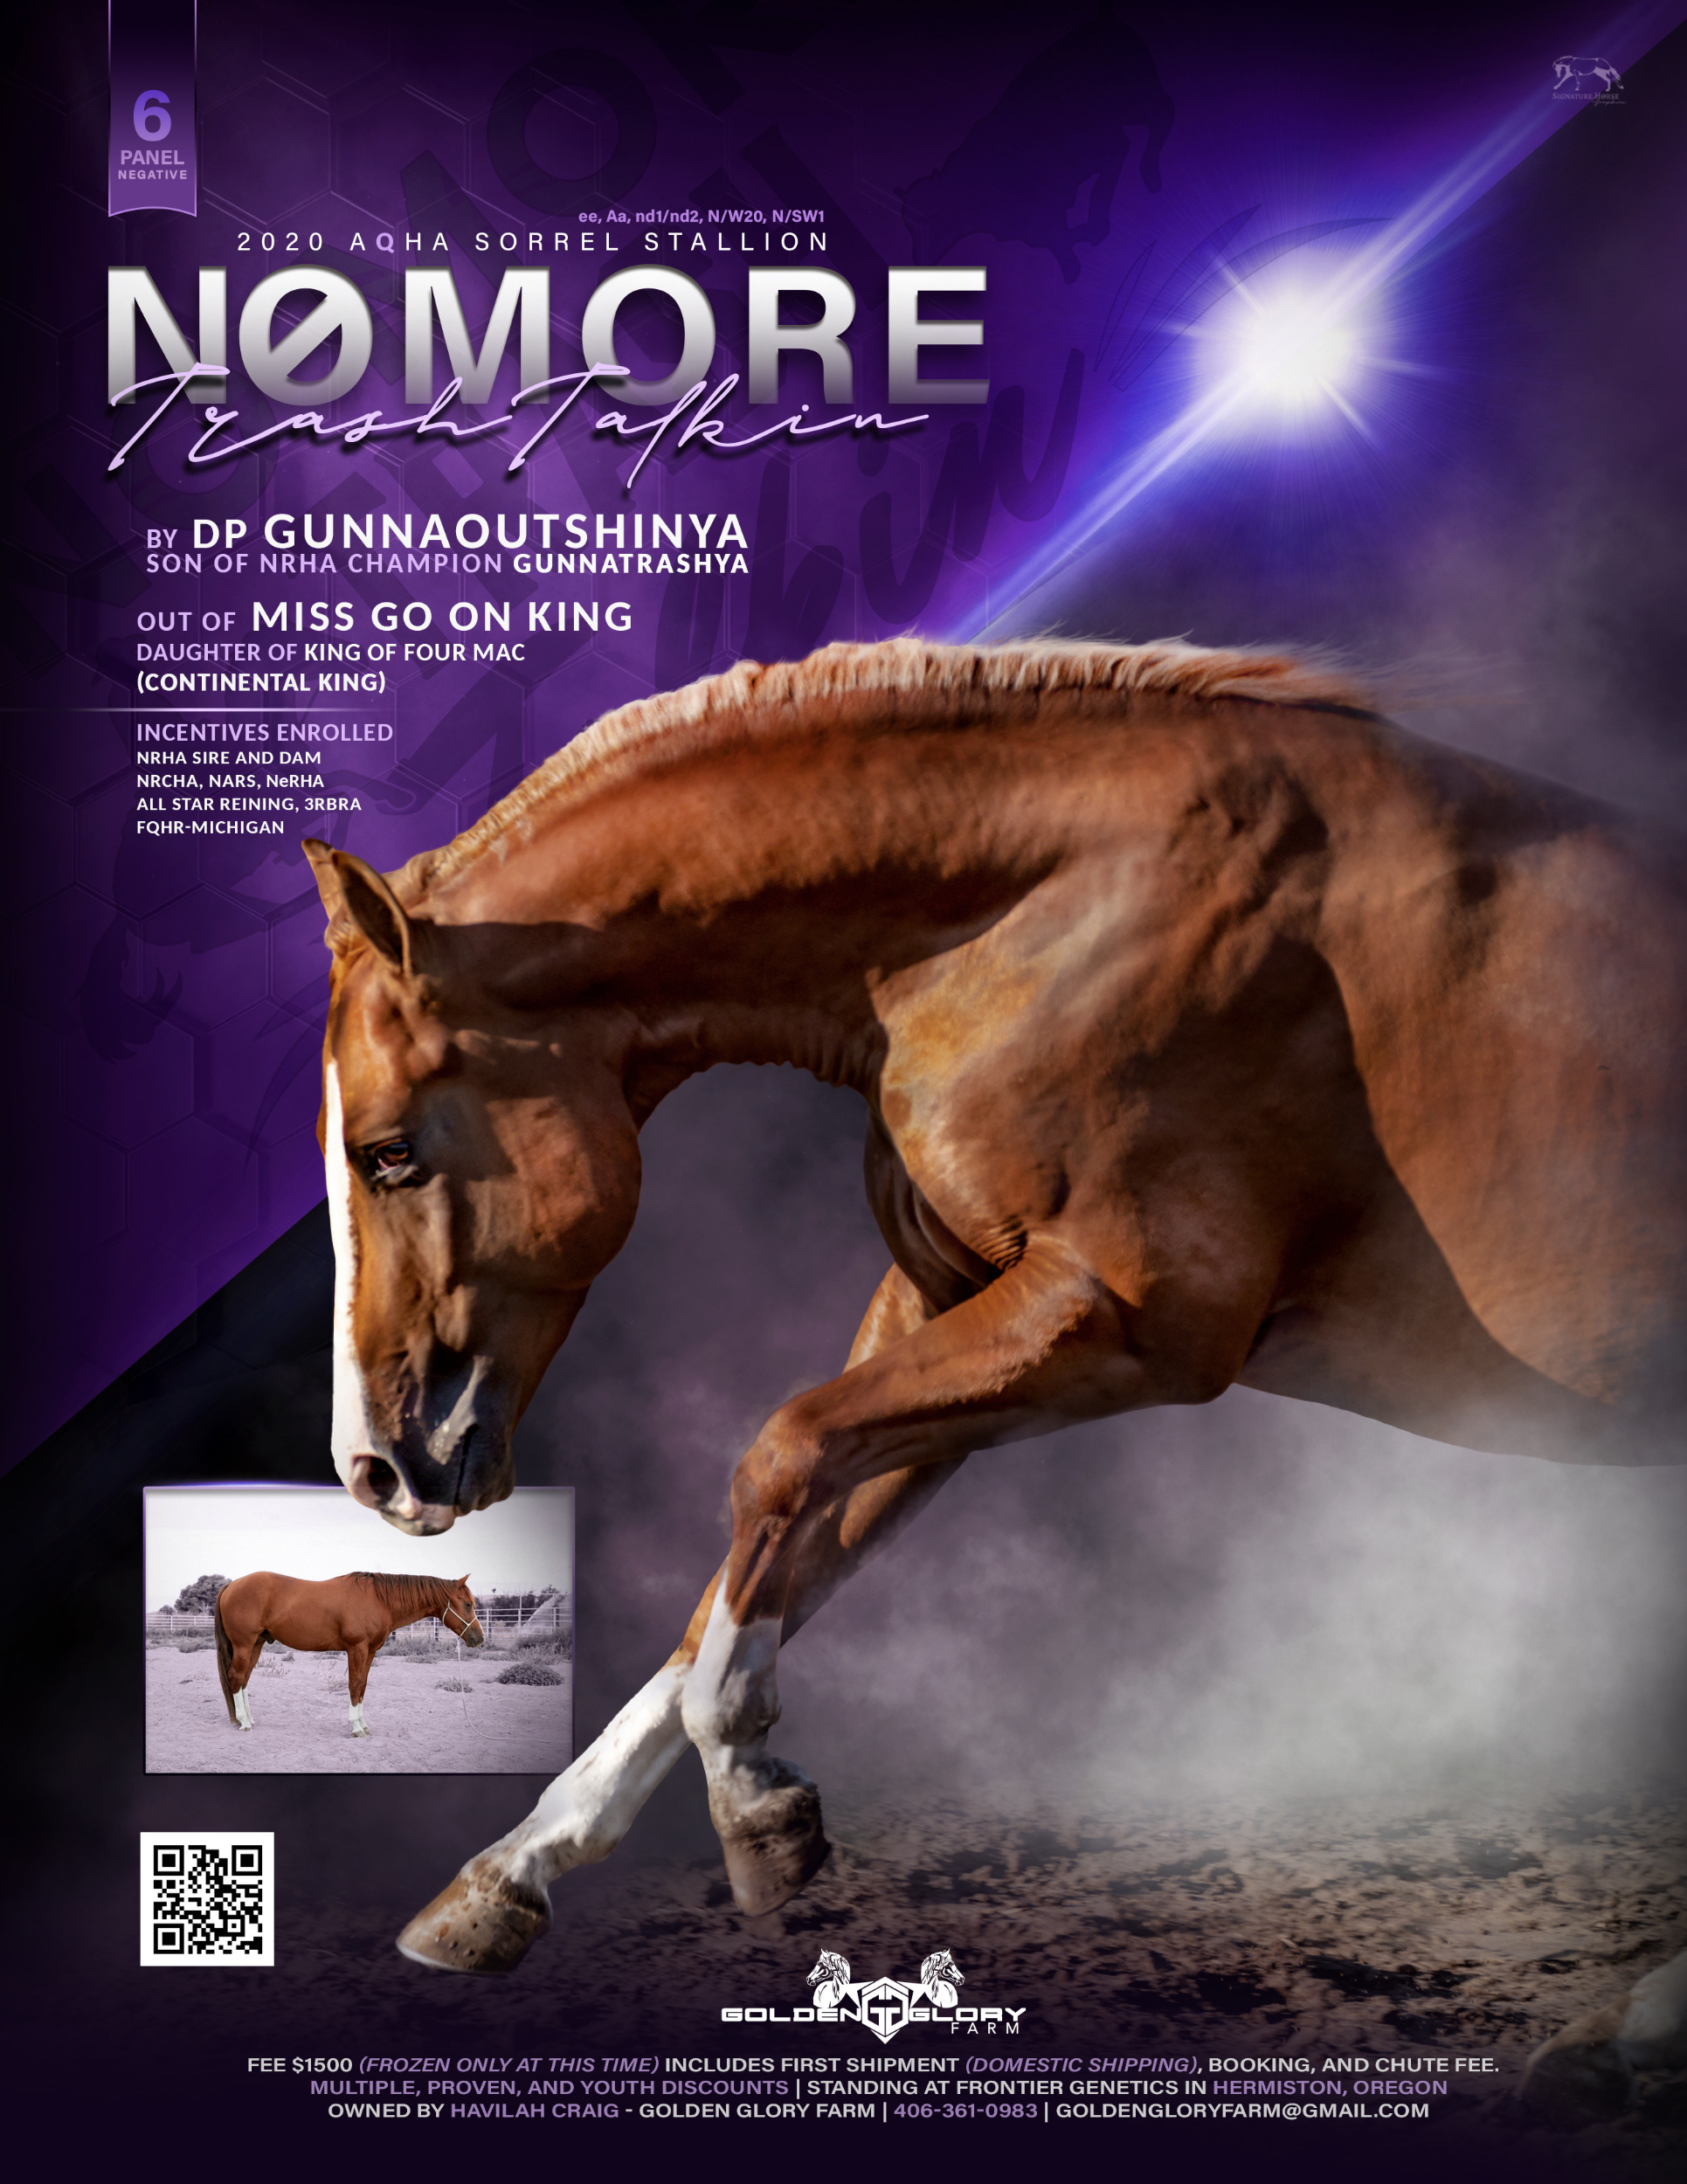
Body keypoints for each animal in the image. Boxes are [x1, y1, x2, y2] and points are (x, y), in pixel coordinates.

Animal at [213, 1571, 483, 1736]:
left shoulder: (370, 1651)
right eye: (468, 1604)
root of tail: (231, 1585)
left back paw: (248, 1719)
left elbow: (362, 1685)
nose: (479, 1638)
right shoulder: (357, 1648)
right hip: (244, 1644)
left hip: (256, 1644)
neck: (379, 1600)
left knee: (244, 1679)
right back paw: (243, 1722)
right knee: (236, 1677)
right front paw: (356, 1728)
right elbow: (354, 1685)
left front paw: (364, 1724)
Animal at [303, 636, 1687, 2105]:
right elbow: (754, 1559)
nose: (374, 1469)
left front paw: (756, 1808)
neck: (1056, 905)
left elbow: (778, 1455)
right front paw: (508, 1878)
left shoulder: (1118, 1320)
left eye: (390, 1151)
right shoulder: (955, 1304)